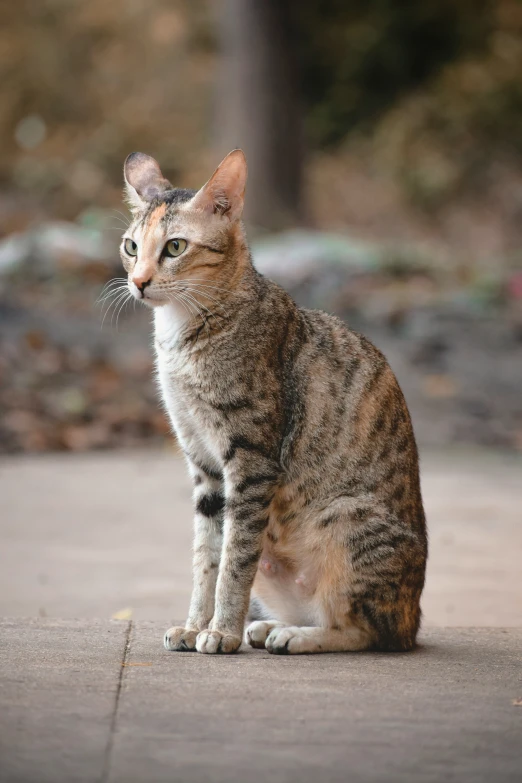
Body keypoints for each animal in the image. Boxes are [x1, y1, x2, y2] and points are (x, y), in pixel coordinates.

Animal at [121, 147, 426, 656]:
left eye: (175, 247)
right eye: (130, 247)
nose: (139, 281)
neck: (181, 336)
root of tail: (414, 616)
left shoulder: (252, 460)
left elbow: (234, 559)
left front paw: (220, 631)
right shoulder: (205, 466)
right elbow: (207, 557)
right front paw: (195, 624)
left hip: (345, 517)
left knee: (368, 630)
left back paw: (296, 635)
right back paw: (269, 626)